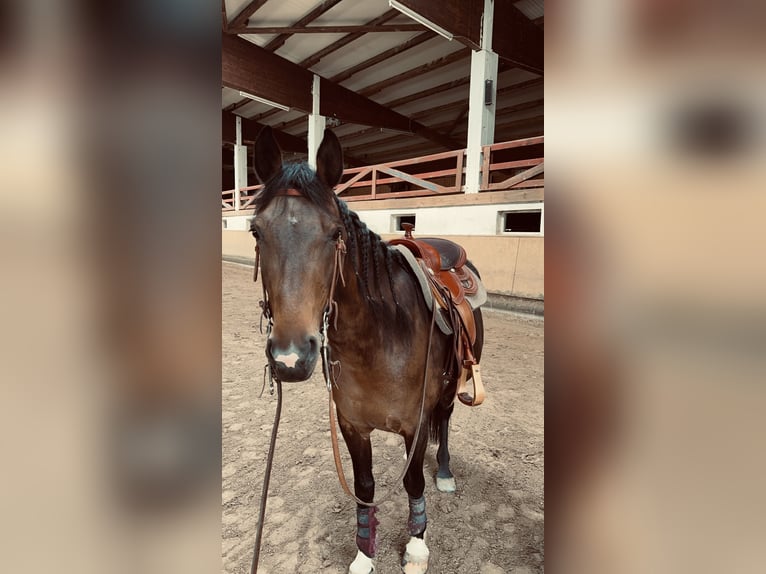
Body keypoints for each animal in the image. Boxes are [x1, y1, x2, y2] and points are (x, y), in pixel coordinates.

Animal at [252, 127, 486, 574]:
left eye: (334, 233)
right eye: (256, 231)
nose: (290, 358)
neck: (377, 340)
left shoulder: (416, 421)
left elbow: (412, 480)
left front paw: (416, 547)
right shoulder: (352, 425)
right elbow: (364, 486)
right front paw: (364, 553)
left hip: (451, 386)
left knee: (446, 421)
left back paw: (445, 471)